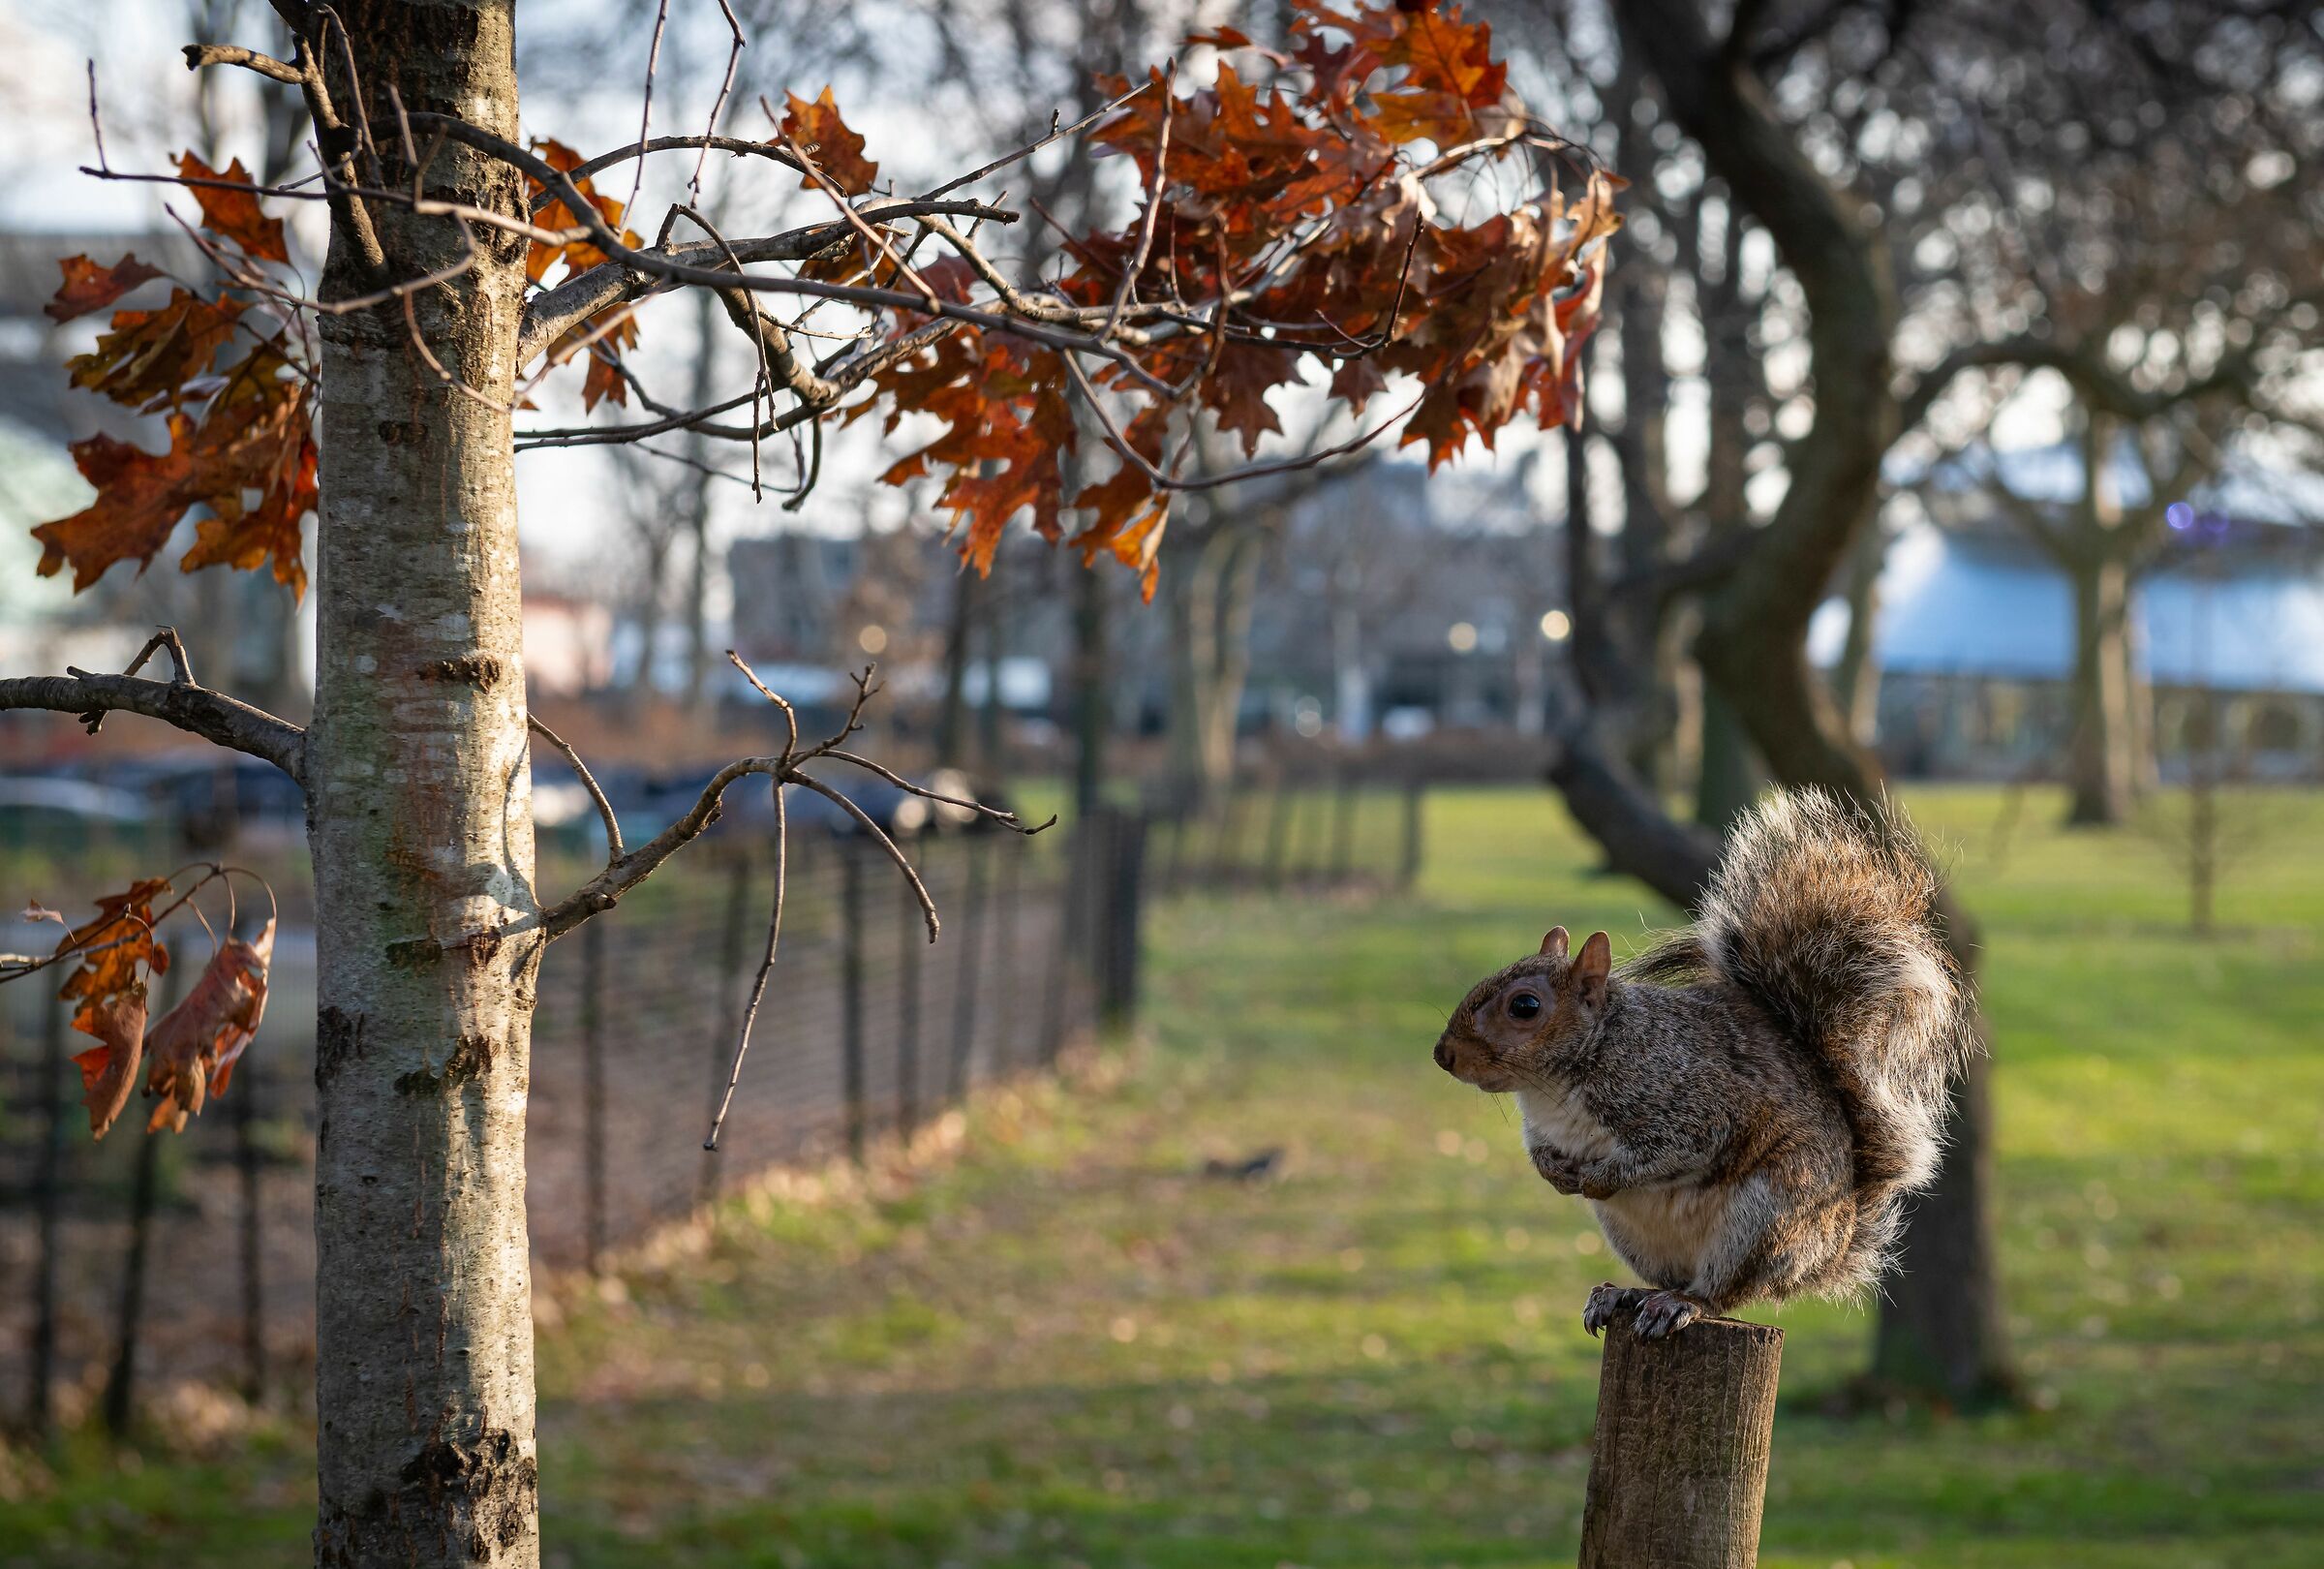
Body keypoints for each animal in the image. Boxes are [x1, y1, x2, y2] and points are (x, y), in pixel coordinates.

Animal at [1432, 787, 1976, 1339]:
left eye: (1525, 1006)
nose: (1443, 1054)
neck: (1559, 1084)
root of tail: (1831, 1249)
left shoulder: (1693, 1105)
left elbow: (1670, 1150)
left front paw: (1596, 1179)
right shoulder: (1545, 1128)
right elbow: (1540, 1151)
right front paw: (1555, 1174)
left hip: (1763, 1219)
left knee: (1724, 1291)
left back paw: (1682, 1303)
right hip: (1637, 1237)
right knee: (1672, 1277)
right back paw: (1625, 1294)